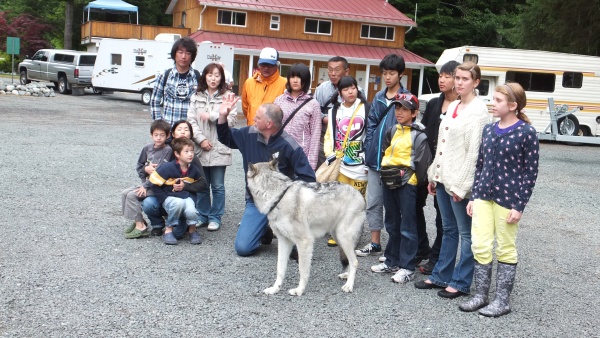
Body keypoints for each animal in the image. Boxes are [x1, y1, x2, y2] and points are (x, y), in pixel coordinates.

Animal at [245, 160, 366, 294]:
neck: (278, 198)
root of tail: (359, 195)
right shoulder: (284, 241)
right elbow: (280, 269)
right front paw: (275, 289)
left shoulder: (304, 242)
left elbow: (302, 270)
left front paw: (299, 290)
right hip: (338, 238)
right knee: (350, 260)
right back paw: (346, 276)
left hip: (343, 237)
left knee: (355, 261)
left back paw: (349, 285)